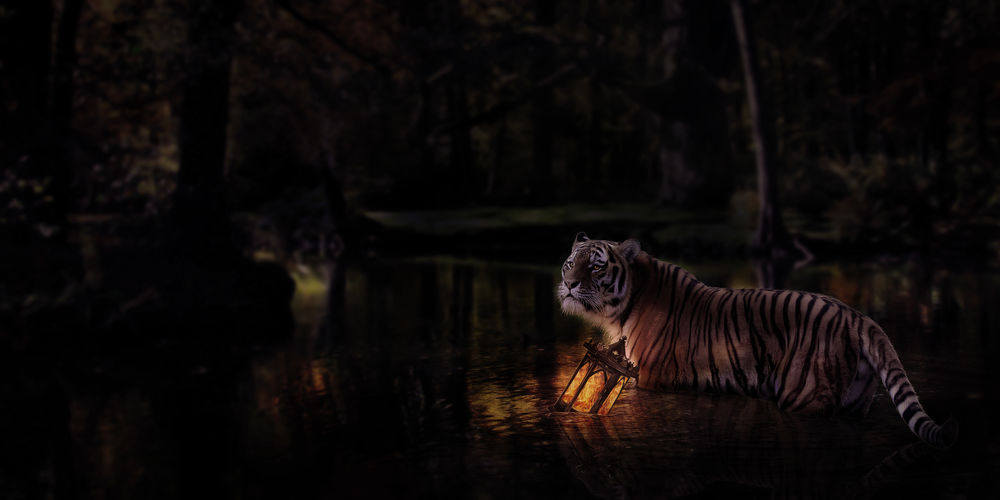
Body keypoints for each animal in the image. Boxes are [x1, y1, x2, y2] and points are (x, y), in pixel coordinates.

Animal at [556, 232, 957, 449]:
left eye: (596, 266)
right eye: (569, 263)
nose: (570, 284)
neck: (626, 304)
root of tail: (858, 315)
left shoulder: (652, 379)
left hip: (805, 396)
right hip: (854, 402)